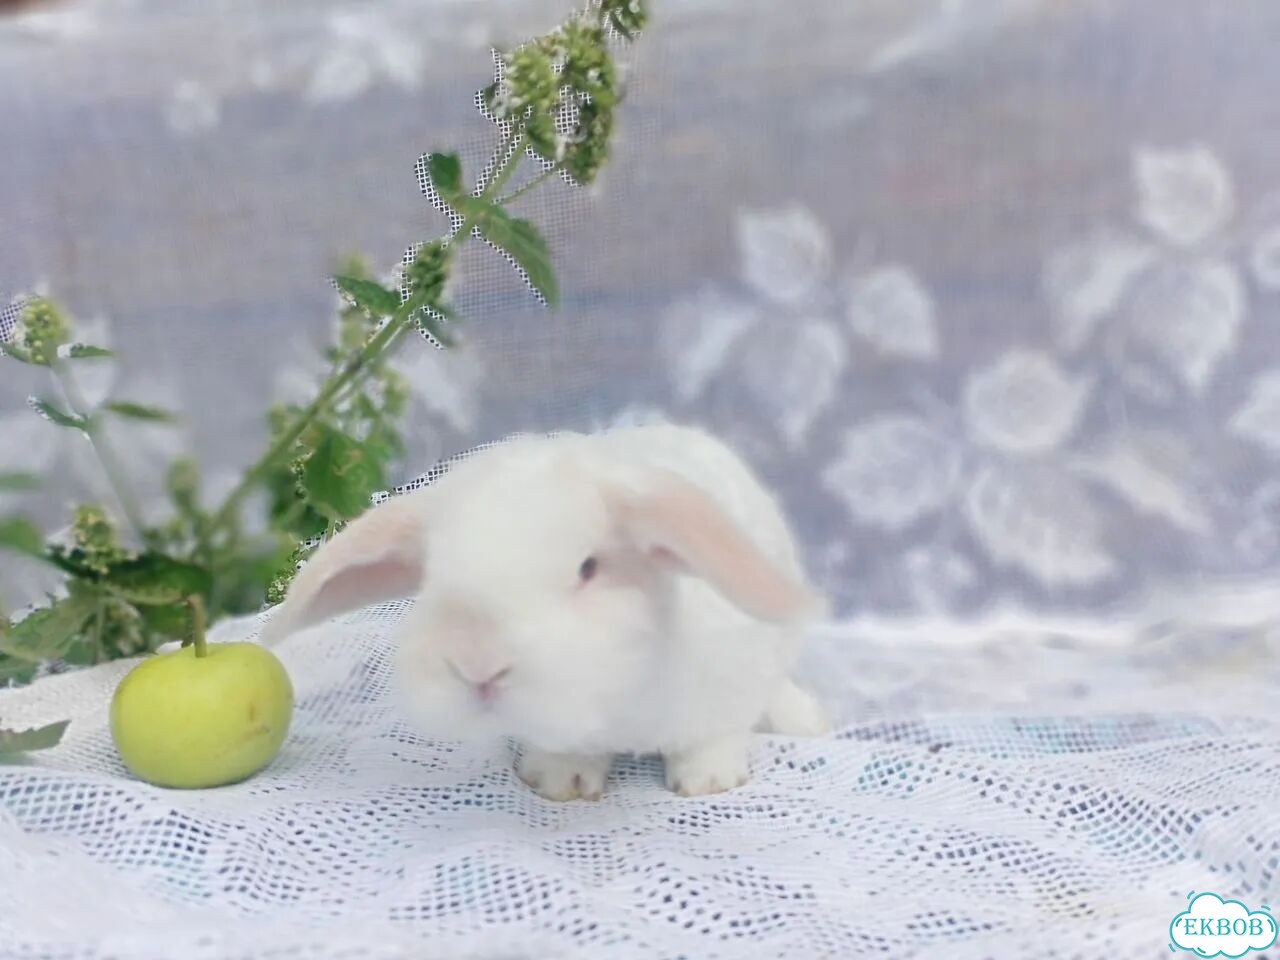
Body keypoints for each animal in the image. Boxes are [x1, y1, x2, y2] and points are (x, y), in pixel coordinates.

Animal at [262, 423, 830, 800]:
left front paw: (708, 781)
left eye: (588, 567)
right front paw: (560, 781)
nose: (477, 665)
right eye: (431, 574)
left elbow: (713, 735)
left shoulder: (730, 681)